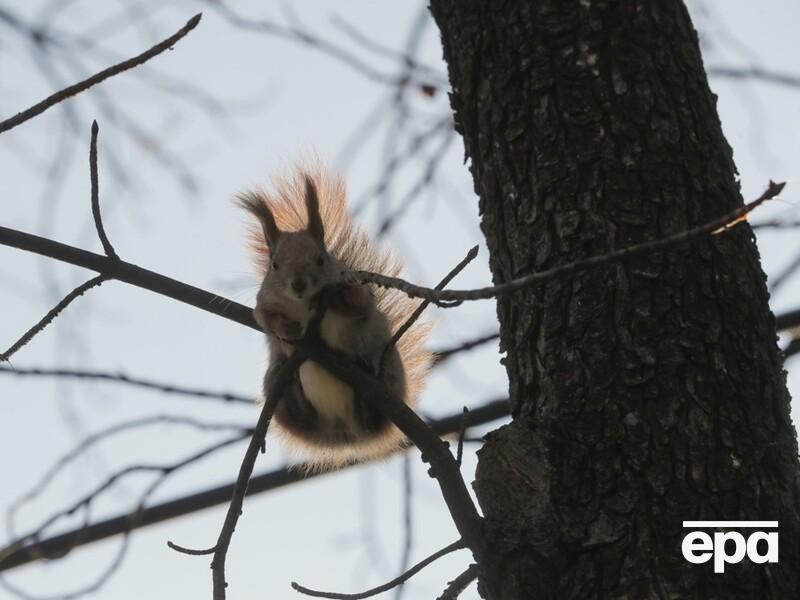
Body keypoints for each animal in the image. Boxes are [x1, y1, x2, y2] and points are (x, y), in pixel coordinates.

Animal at [239, 166, 432, 472]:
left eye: (321, 259)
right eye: (274, 265)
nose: (298, 284)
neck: (304, 304)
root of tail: (343, 429)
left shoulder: (359, 296)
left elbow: (358, 303)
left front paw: (336, 299)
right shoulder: (265, 301)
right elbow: (264, 318)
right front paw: (286, 327)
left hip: (390, 370)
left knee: (372, 420)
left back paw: (366, 396)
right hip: (277, 393)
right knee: (299, 416)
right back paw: (291, 389)